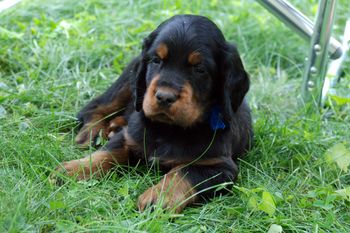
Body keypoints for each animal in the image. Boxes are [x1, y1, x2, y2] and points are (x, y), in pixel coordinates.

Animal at [54, 13, 252, 212]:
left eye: (200, 69)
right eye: (156, 60)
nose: (164, 97)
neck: (168, 128)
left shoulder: (219, 166)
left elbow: (184, 172)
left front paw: (159, 197)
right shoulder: (129, 136)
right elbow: (106, 153)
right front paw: (73, 169)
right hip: (128, 82)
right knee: (94, 106)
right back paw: (91, 133)